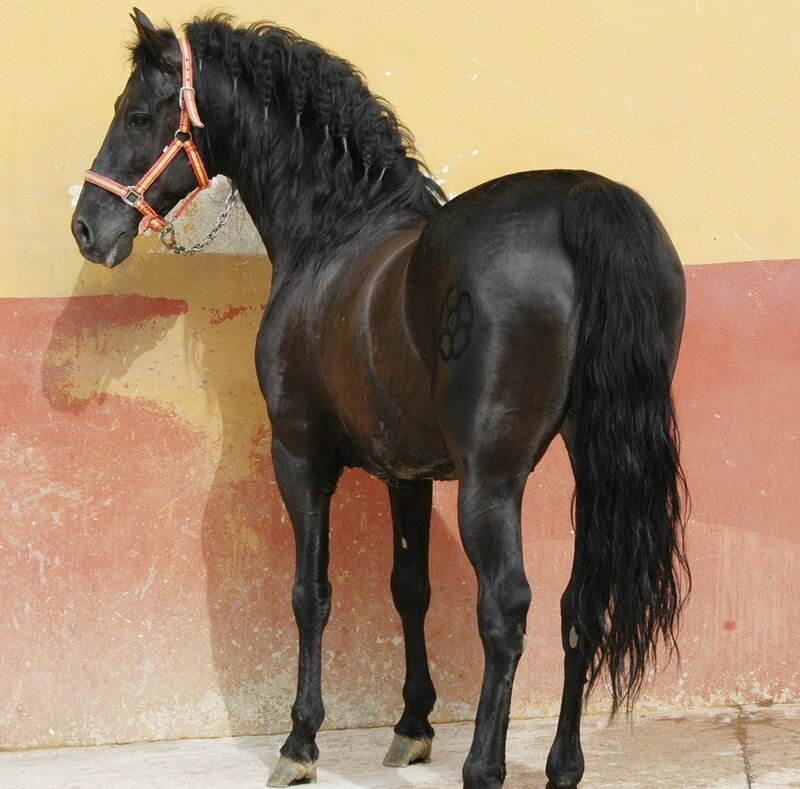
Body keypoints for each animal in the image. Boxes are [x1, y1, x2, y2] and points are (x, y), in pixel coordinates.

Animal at [71, 10, 689, 788]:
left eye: (137, 113)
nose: (87, 227)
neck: (336, 230)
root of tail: (581, 198)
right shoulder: (409, 474)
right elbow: (409, 587)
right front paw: (412, 726)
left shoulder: (299, 457)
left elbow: (310, 594)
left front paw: (300, 741)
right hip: (590, 462)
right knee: (579, 603)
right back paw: (562, 765)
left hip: (492, 480)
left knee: (506, 609)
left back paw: (484, 765)